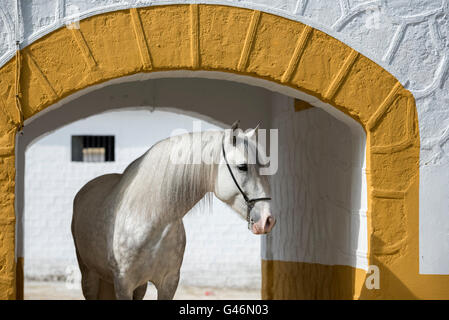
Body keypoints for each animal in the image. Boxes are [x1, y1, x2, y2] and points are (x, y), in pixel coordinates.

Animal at [71, 121, 272, 298]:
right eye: (242, 167)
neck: (152, 221)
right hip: (89, 275)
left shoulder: (169, 282)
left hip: (140, 286)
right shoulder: (123, 284)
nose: (267, 220)